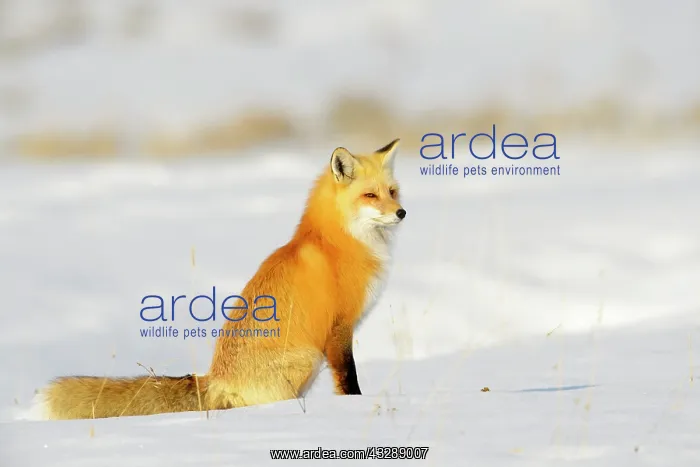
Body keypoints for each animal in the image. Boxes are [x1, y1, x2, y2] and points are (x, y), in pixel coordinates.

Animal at [36, 139, 406, 420]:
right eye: (370, 196)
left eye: (392, 192)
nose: (402, 213)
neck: (337, 241)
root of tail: (215, 378)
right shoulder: (338, 330)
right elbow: (349, 382)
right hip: (307, 359)